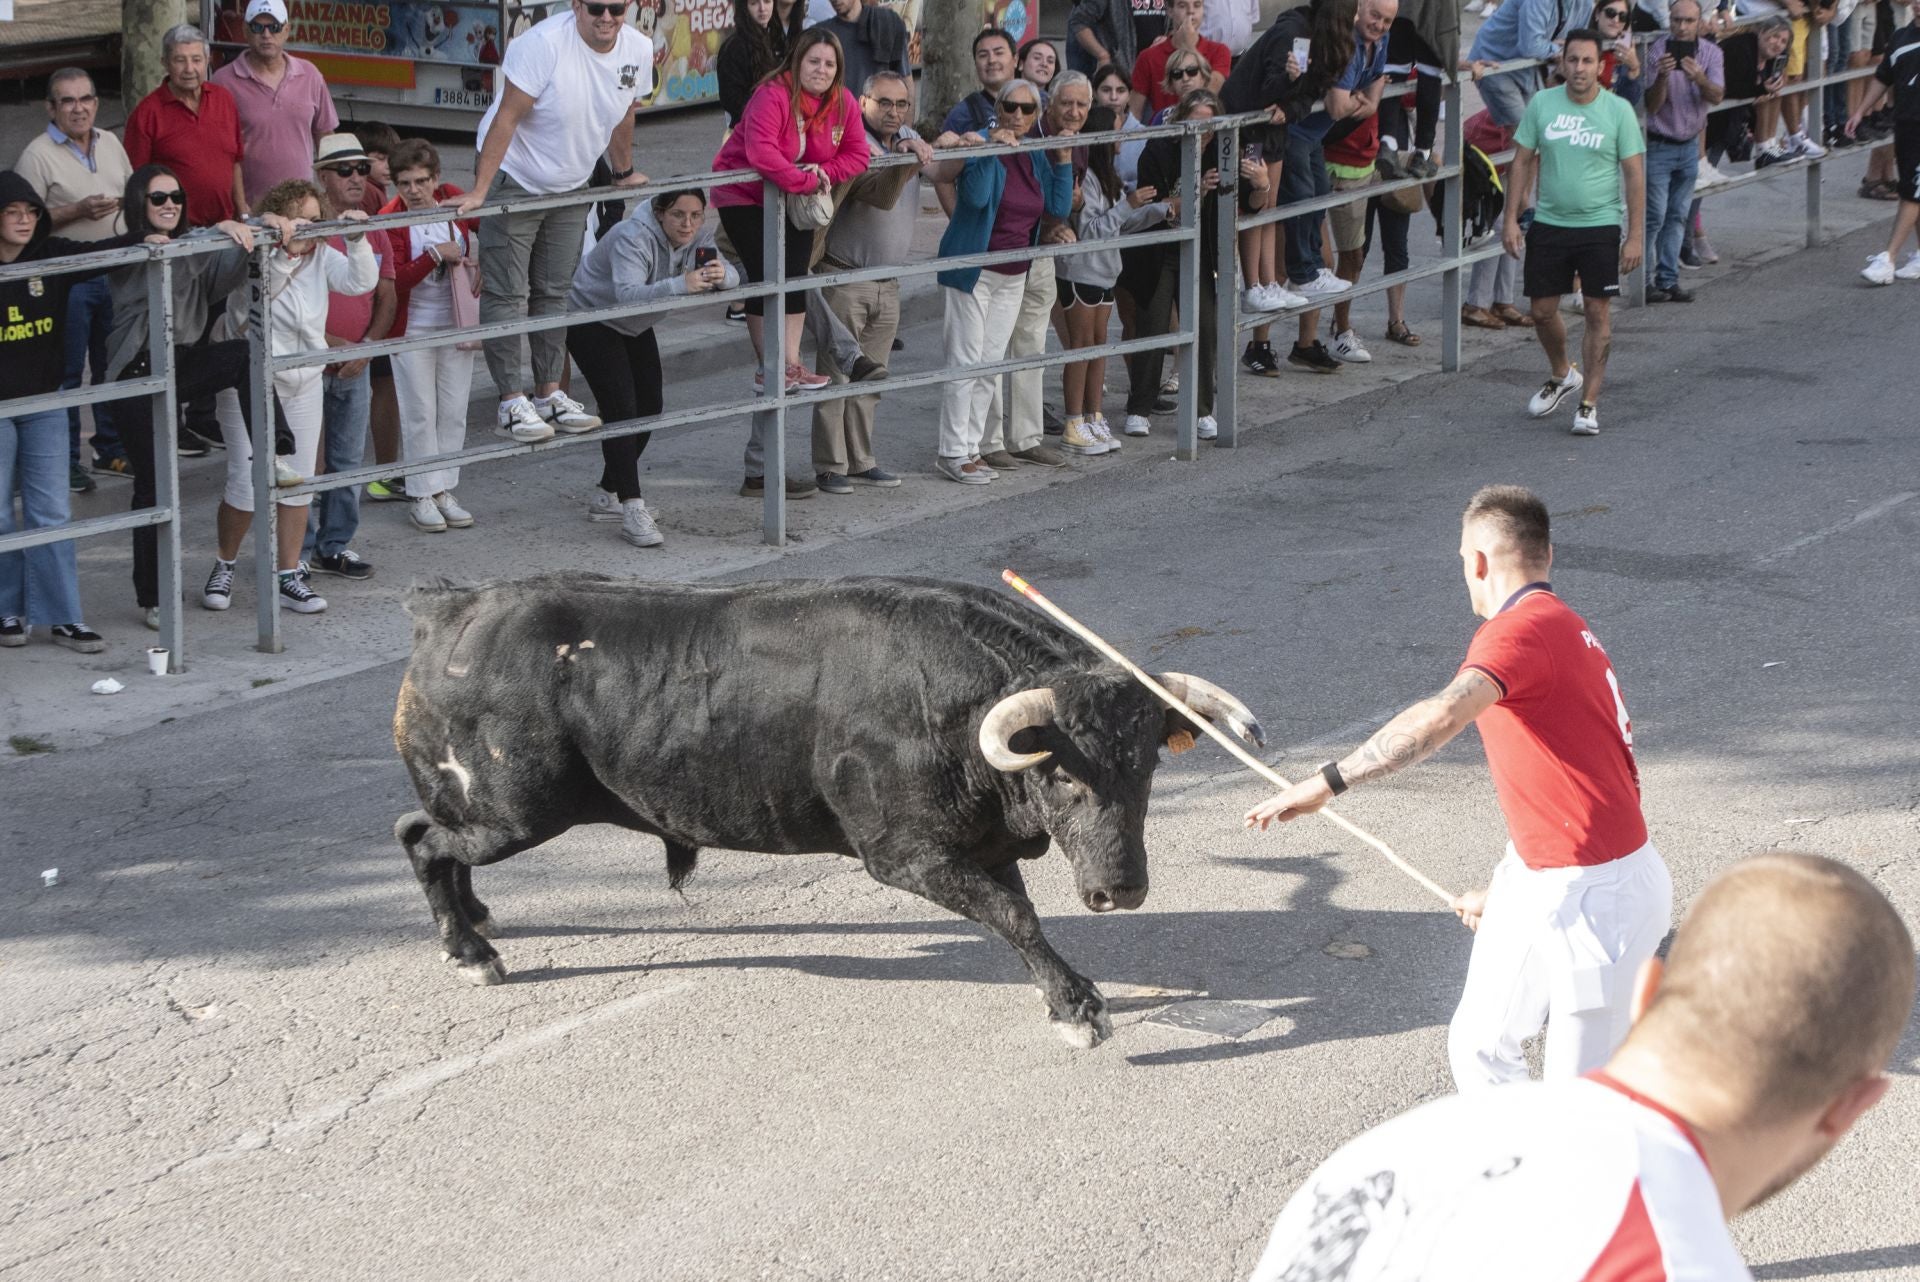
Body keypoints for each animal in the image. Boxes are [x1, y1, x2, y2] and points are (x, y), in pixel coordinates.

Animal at [391, 575, 1267, 1044]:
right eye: (1058, 776)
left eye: (1147, 765)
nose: (1121, 889)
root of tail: (448, 607)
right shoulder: (906, 855)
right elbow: (1015, 916)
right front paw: (1079, 1007)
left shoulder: (975, 848)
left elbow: (1014, 913)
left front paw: (1062, 994)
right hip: (514, 811)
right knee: (423, 838)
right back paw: (469, 951)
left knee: (434, 841)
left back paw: (477, 922)